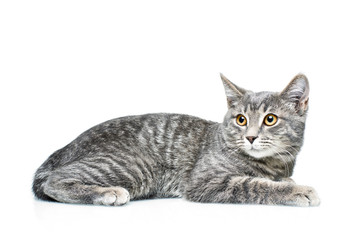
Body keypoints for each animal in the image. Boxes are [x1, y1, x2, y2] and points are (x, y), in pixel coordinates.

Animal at [33, 72, 320, 206]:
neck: (270, 164)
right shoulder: (206, 181)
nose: (250, 137)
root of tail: (67, 146)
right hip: (133, 164)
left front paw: (287, 181)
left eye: (270, 119)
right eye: (241, 119)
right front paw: (297, 190)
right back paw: (107, 193)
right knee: (54, 181)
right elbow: (254, 185)